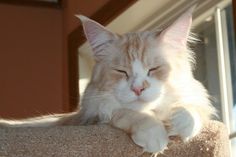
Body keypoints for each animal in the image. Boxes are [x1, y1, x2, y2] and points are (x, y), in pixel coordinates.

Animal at [0, 6, 216, 153]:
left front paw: (180, 122)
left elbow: (194, 109)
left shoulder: (197, 98)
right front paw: (154, 134)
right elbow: (128, 113)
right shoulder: (94, 116)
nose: (138, 89)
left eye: (153, 69)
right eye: (121, 71)